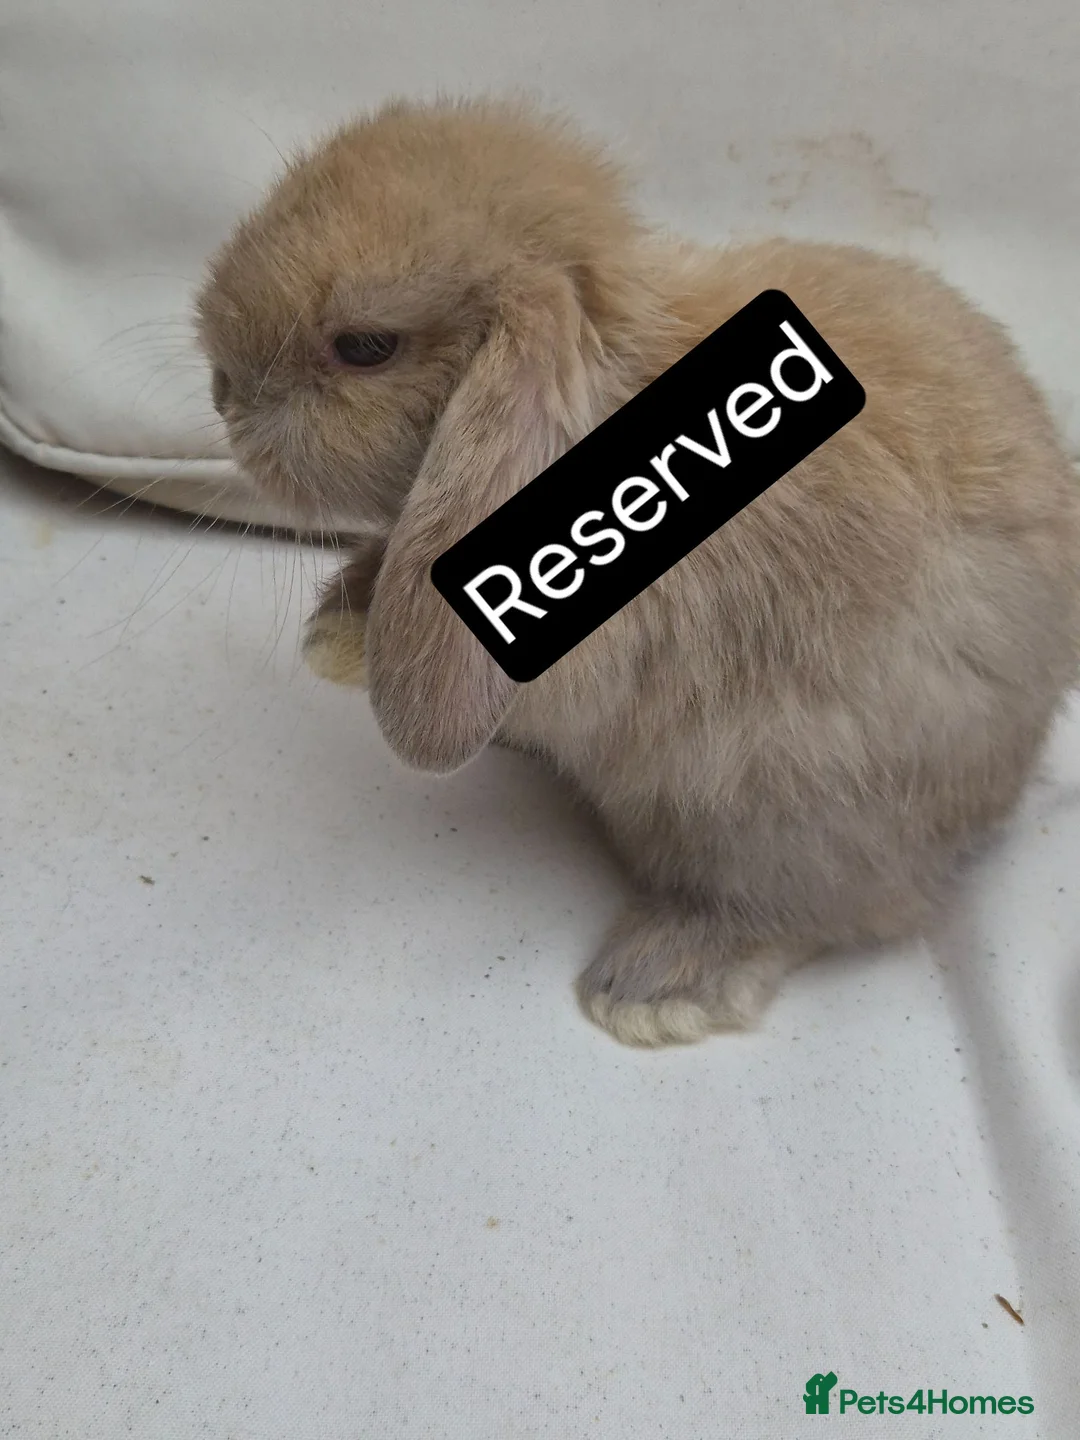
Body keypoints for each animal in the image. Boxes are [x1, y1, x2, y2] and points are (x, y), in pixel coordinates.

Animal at [195, 96, 1080, 1047]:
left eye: (364, 346)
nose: (221, 392)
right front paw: (331, 630)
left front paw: (346, 649)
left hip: (789, 815)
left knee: (822, 911)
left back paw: (655, 987)